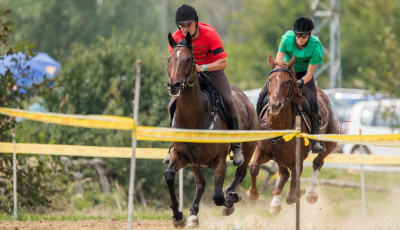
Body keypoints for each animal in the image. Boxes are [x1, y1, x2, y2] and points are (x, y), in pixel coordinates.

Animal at [164, 32, 258, 228]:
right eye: (169, 59)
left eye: (189, 59)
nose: (174, 85)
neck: (193, 119)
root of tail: (245, 98)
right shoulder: (182, 155)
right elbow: (169, 176)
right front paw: (178, 216)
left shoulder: (219, 161)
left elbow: (218, 196)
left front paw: (230, 201)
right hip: (195, 162)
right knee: (200, 183)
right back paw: (193, 214)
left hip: (249, 147)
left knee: (240, 172)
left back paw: (231, 198)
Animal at [247, 55, 338, 214]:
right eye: (270, 79)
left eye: (288, 81)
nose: (275, 104)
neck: (279, 126)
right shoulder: (264, 150)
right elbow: (254, 167)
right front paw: (252, 194)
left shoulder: (297, 159)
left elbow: (293, 190)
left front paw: (299, 194)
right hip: (279, 157)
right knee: (284, 174)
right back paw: (275, 202)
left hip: (329, 144)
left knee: (317, 162)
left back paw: (311, 194)